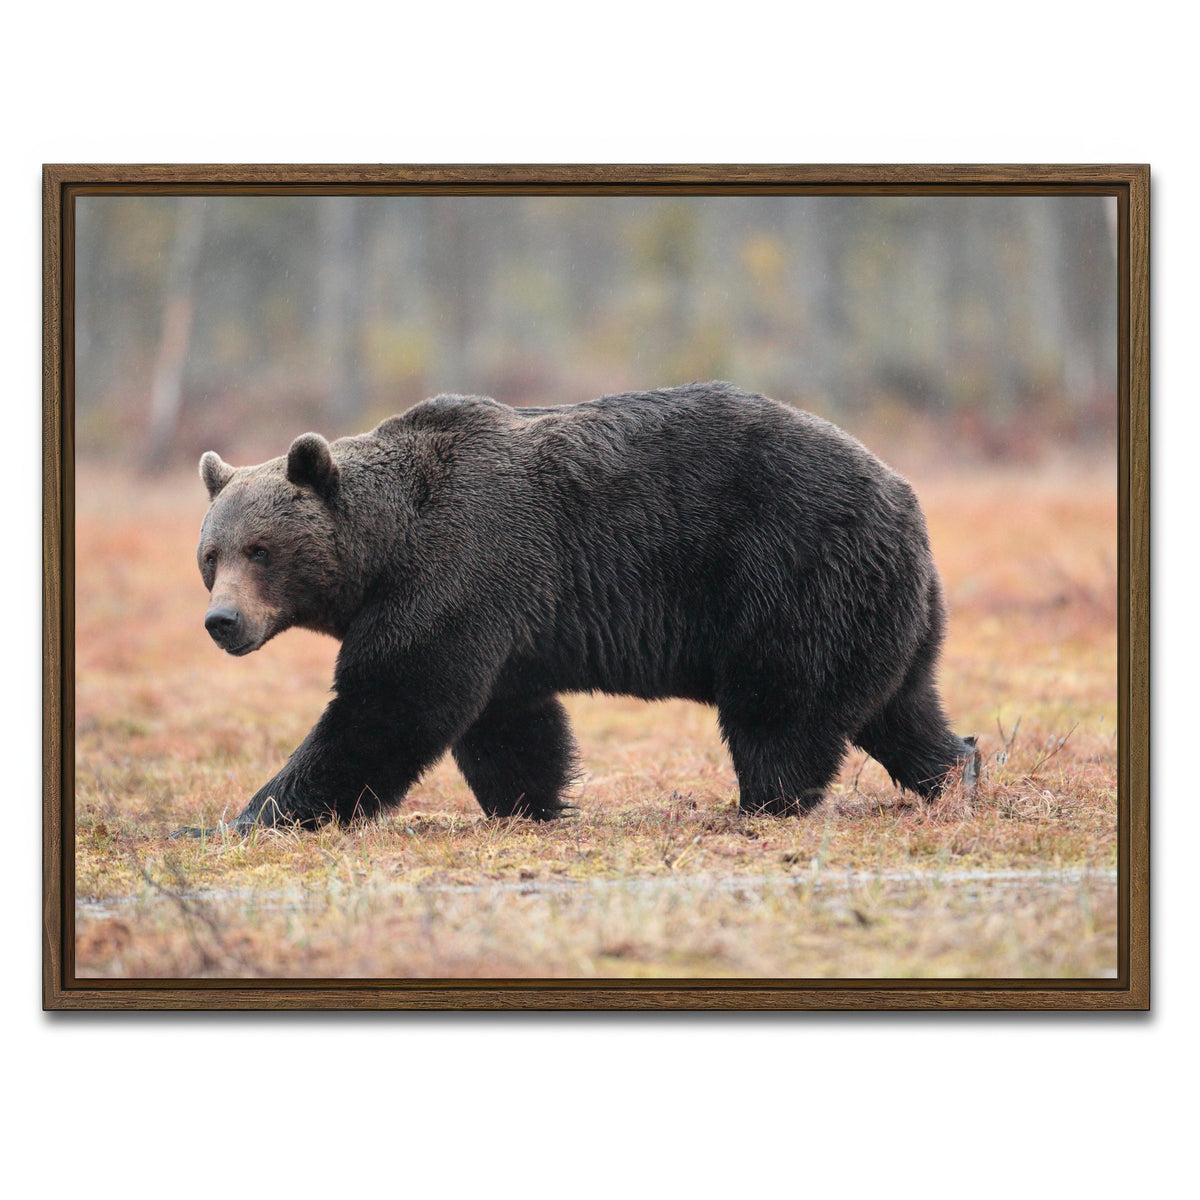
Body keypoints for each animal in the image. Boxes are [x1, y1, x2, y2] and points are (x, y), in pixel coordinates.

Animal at [180, 381, 978, 835]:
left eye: (261, 550)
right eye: (210, 556)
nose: (223, 623)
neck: (387, 547)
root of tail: (904, 494)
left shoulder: (460, 568)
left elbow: (390, 704)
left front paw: (248, 817)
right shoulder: (498, 615)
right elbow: (507, 722)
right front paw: (533, 803)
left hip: (791, 572)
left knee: (781, 708)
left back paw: (762, 804)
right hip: (886, 607)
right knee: (900, 708)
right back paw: (957, 771)